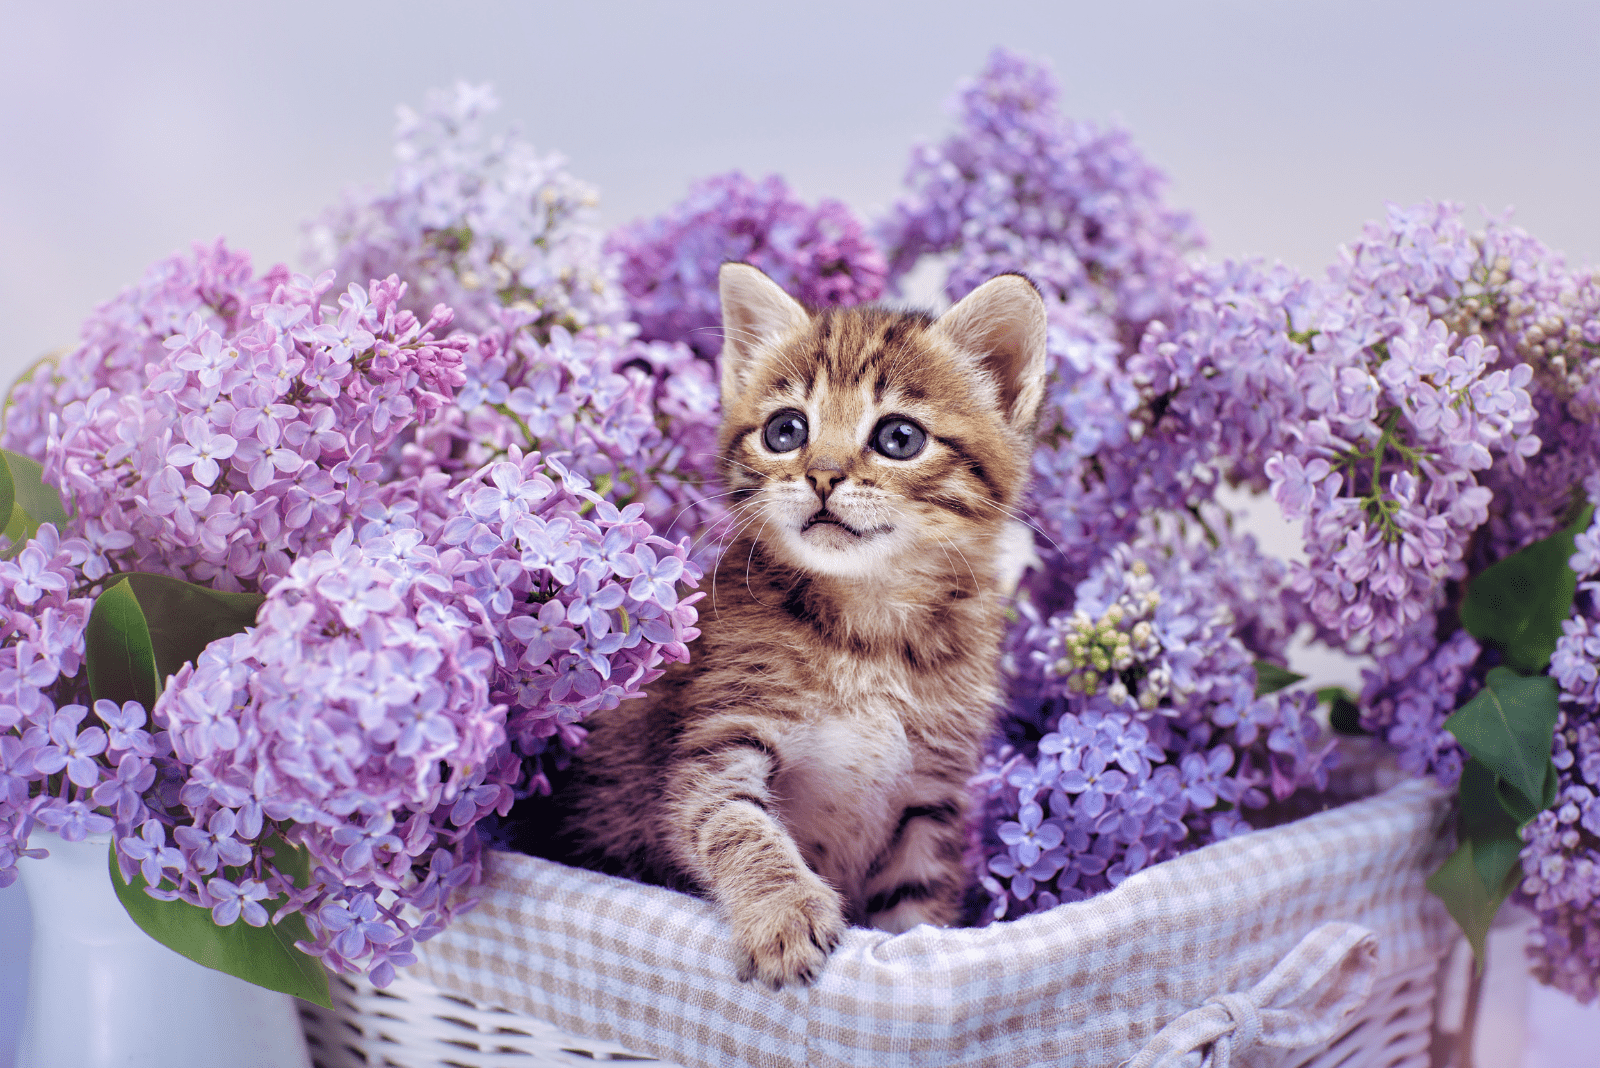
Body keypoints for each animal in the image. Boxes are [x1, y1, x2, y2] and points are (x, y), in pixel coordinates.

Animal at [563, 262, 1049, 991]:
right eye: (786, 430)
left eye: (899, 438)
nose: (821, 475)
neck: (870, 631)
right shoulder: (720, 736)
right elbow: (732, 820)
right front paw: (784, 912)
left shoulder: (930, 793)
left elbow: (915, 907)